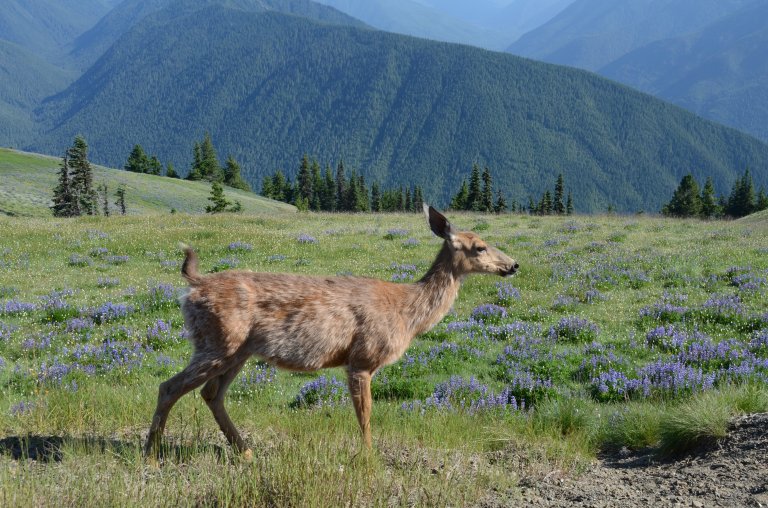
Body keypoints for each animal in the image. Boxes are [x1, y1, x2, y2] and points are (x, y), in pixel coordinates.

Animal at [144, 204, 516, 458]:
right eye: (480, 246)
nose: (513, 265)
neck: (407, 313)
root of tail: (194, 285)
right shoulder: (362, 358)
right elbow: (365, 415)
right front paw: (369, 458)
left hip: (237, 350)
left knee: (211, 394)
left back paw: (245, 452)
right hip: (217, 341)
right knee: (168, 386)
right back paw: (151, 454)